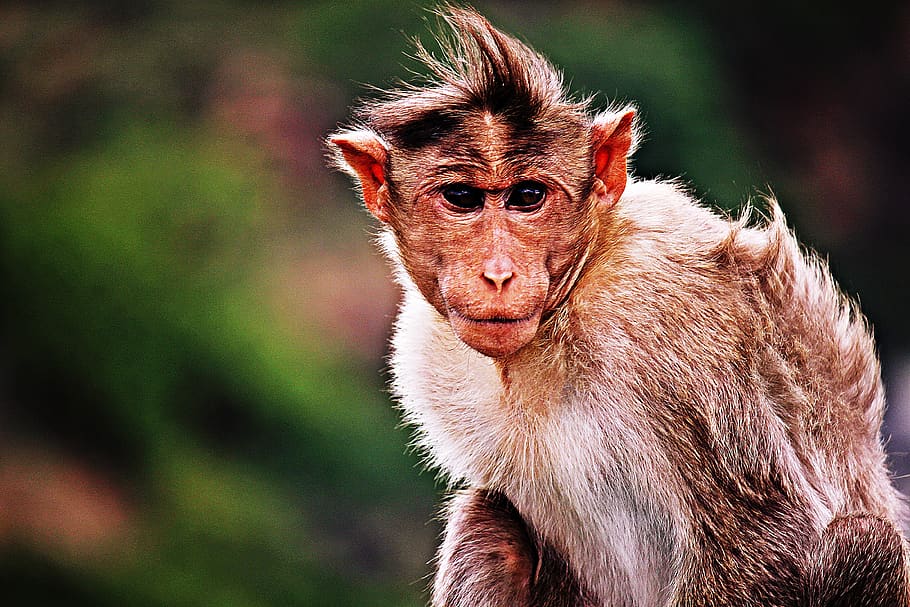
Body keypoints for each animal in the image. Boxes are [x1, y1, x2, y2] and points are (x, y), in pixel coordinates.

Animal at [328, 7, 910, 607]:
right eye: (462, 198)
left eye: (528, 197)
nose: (497, 274)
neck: (561, 315)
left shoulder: (656, 308)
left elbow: (771, 537)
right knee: (489, 522)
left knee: (867, 541)